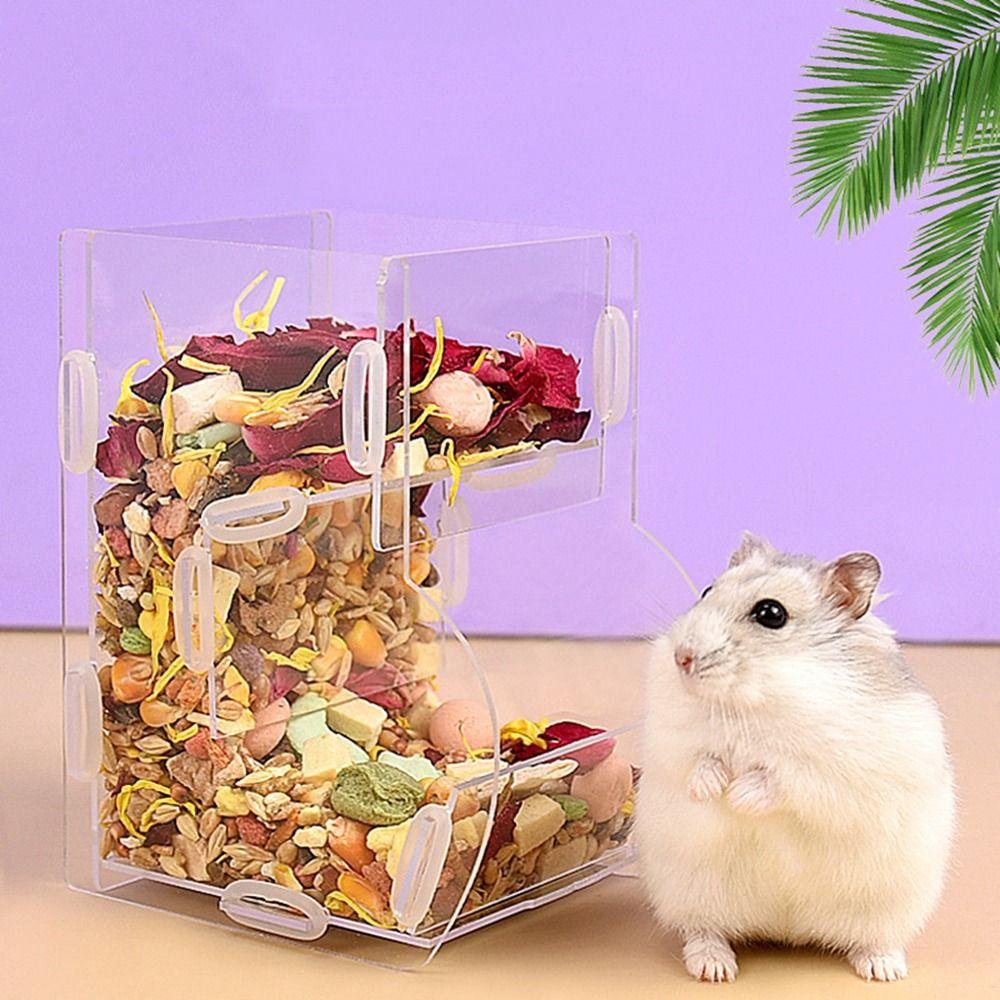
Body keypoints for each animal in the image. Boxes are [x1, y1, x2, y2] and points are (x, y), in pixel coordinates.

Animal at [636, 533, 954, 983]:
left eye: (771, 614)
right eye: (706, 591)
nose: (682, 657)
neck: (763, 694)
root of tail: (788, 930)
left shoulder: (839, 770)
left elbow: (785, 778)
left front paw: (739, 796)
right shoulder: (670, 739)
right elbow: (698, 760)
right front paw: (712, 790)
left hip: (891, 905)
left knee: (876, 939)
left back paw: (884, 970)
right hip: (688, 891)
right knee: (703, 930)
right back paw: (715, 968)